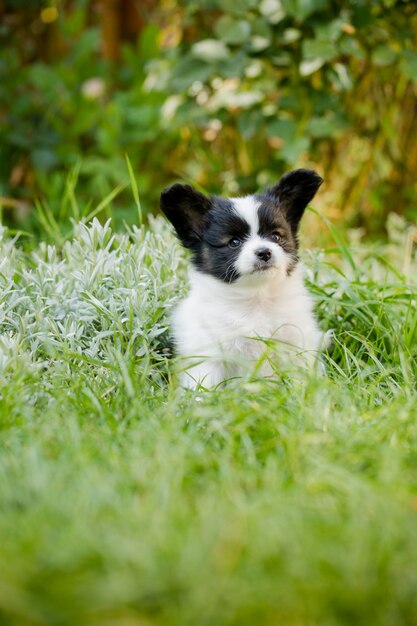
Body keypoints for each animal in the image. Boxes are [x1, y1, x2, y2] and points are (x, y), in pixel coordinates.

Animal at [159, 168, 324, 388]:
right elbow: (204, 386)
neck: (256, 299)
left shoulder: (295, 344)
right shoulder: (209, 356)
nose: (264, 252)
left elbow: (299, 379)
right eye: (234, 242)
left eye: (276, 236)